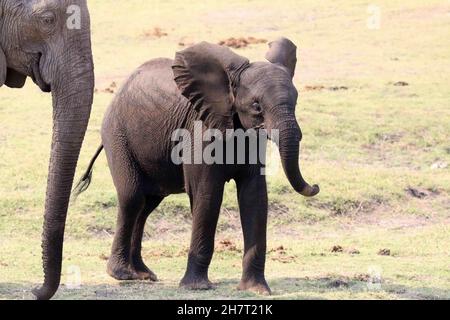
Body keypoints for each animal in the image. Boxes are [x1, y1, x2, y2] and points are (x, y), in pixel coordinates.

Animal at [74, 38, 320, 296]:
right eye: (256, 106)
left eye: (296, 101)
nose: (315, 186)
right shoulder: (199, 130)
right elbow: (207, 193)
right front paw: (197, 287)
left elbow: (254, 196)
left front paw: (256, 290)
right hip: (117, 136)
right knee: (132, 198)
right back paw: (122, 274)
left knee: (146, 204)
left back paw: (142, 274)